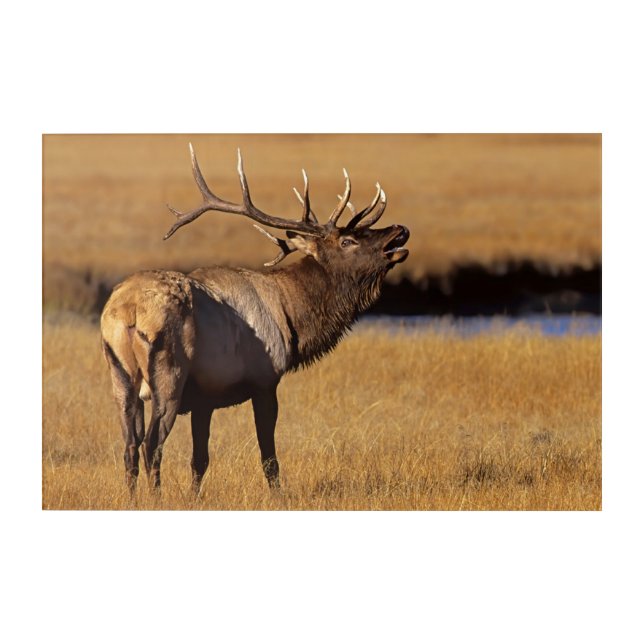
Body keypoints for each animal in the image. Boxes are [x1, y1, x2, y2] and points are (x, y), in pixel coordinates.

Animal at [100, 144, 410, 495]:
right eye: (347, 241)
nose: (400, 230)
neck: (291, 318)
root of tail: (128, 312)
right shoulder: (265, 381)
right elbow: (269, 459)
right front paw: (279, 497)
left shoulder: (205, 398)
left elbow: (199, 460)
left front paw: (194, 498)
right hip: (168, 374)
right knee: (151, 444)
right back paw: (156, 498)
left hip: (120, 376)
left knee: (129, 446)